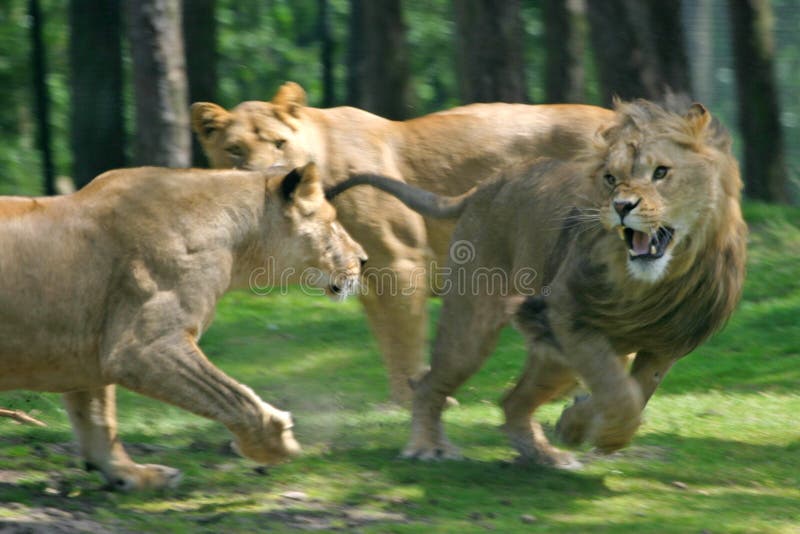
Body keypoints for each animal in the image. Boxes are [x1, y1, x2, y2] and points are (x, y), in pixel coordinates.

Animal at [0, 163, 368, 490]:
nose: (364, 259)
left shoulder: (87, 354)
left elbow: (97, 421)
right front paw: (275, 443)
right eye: (333, 222)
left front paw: (134, 477)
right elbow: (231, 395)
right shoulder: (142, 346)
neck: (239, 241)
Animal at [192, 81, 612, 404]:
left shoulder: (400, 261)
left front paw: (414, 398)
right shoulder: (365, 275)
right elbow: (388, 339)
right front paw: (401, 399)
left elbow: (405, 336)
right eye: (234, 150)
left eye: (279, 143)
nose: (268, 175)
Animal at [328, 100, 748, 468]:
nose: (621, 207)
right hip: (474, 327)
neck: (653, 283)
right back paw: (426, 447)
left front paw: (578, 424)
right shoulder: (567, 317)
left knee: (512, 401)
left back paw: (543, 455)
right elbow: (619, 394)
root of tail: (484, 186)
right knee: (431, 384)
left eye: (661, 172)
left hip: (553, 358)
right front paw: (596, 430)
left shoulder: (666, 344)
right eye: (611, 178)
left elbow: (634, 392)